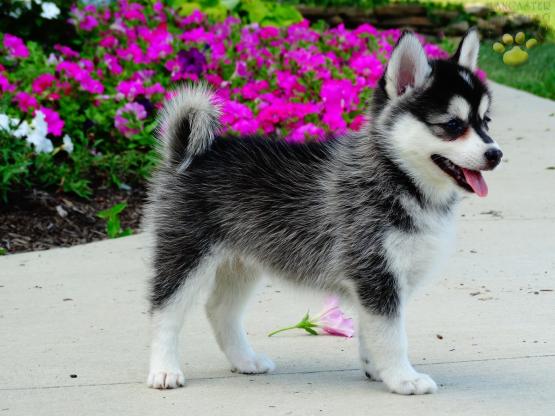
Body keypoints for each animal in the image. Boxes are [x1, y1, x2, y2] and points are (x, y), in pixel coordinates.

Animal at [143, 28, 504, 394]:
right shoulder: (376, 273)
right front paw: (403, 377)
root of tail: (189, 153)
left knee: (219, 310)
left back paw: (245, 361)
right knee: (165, 312)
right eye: (453, 124)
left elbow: (372, 331)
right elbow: (391, 335)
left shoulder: (380, 283)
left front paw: (377, 369)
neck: (396, 174)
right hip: (186, 252)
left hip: (242, 262)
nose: (495, 154)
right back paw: (164, 370)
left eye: (485, 121)